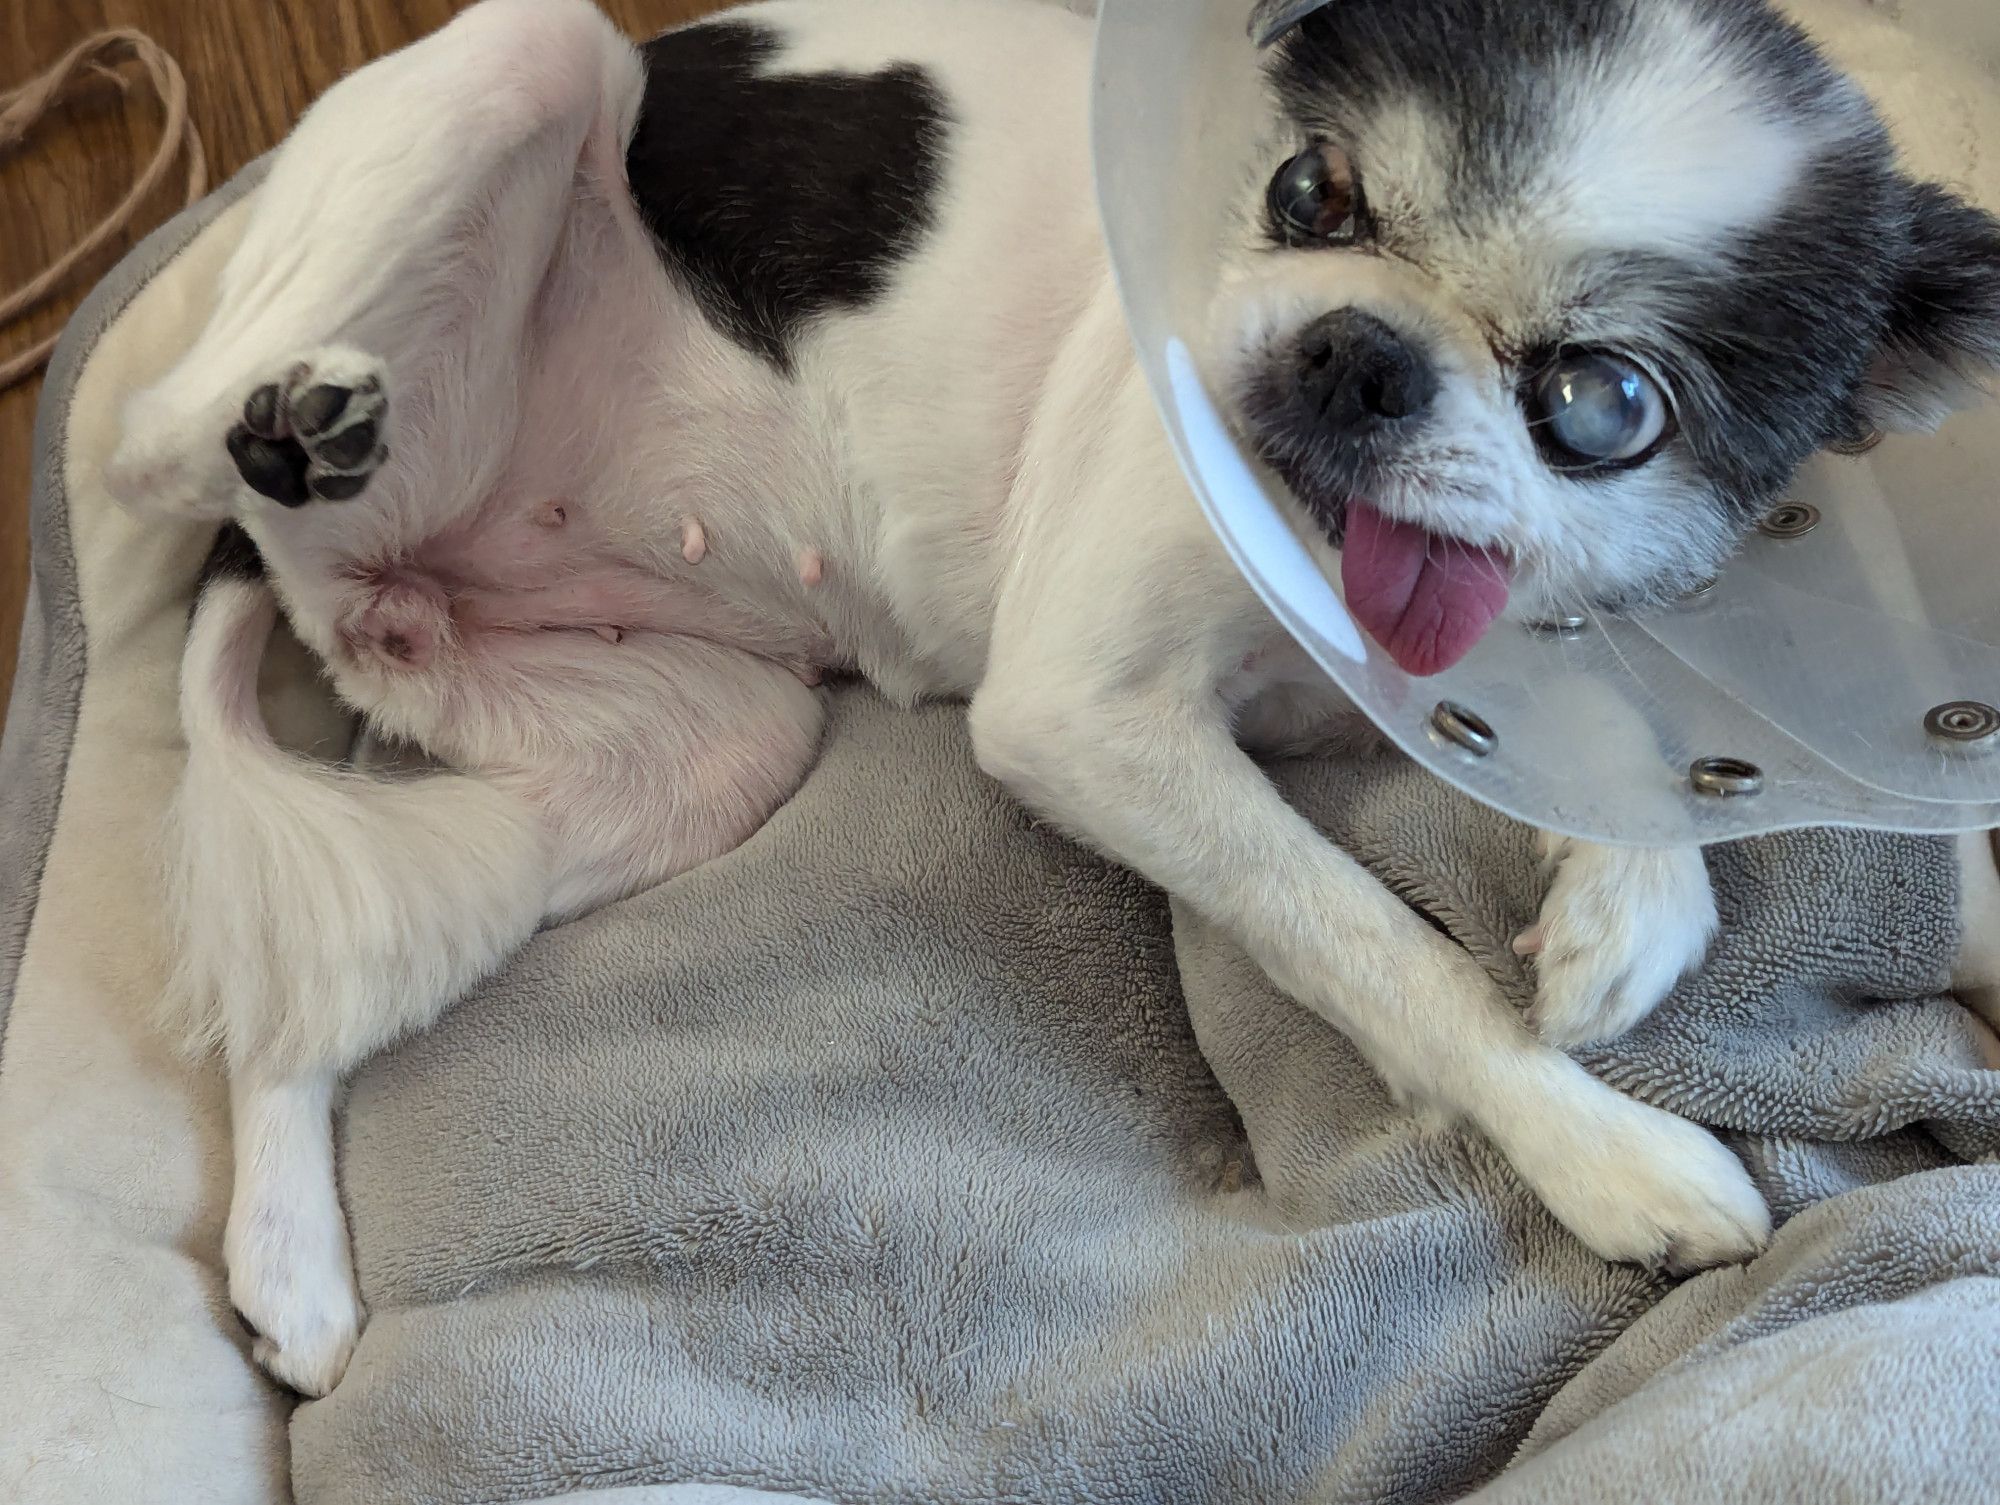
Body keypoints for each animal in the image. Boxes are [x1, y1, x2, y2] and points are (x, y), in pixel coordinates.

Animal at [101, 0, 2000, 1392]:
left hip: (697, 760)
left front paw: (1627, 908)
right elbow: (1383, 949)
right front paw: (1604, 1151)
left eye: (1603, 407)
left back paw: (292, 1269)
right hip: (518, 62)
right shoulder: (1089, 723)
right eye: (1311, 193)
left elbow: (1635, 749)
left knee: (306, 1001)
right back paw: (289, 417)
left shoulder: (1486, 661)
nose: (1358, 353)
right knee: (147, 443)